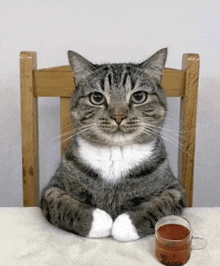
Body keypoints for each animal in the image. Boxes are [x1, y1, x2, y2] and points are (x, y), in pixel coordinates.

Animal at [40, 47, 186, 241]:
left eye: (139, 96)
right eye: (96, 97)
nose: (118, 116)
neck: (116, 153)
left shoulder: (175, 189)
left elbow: (159, 205)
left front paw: (123, 226)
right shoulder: (52, 188)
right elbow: (63, 204)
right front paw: (100, 222)